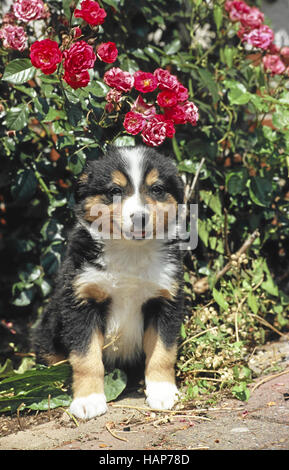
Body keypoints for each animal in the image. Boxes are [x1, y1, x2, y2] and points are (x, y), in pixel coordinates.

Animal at [32, 146, 184, 418]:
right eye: (115, 191)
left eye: (156, 189)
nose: (140, 218)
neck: (130, 252)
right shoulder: (81, 302)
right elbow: (86, 358)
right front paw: (88, 400)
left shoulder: (165, 300)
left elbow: (163, 353)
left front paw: (163, 393)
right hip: (47, 334)